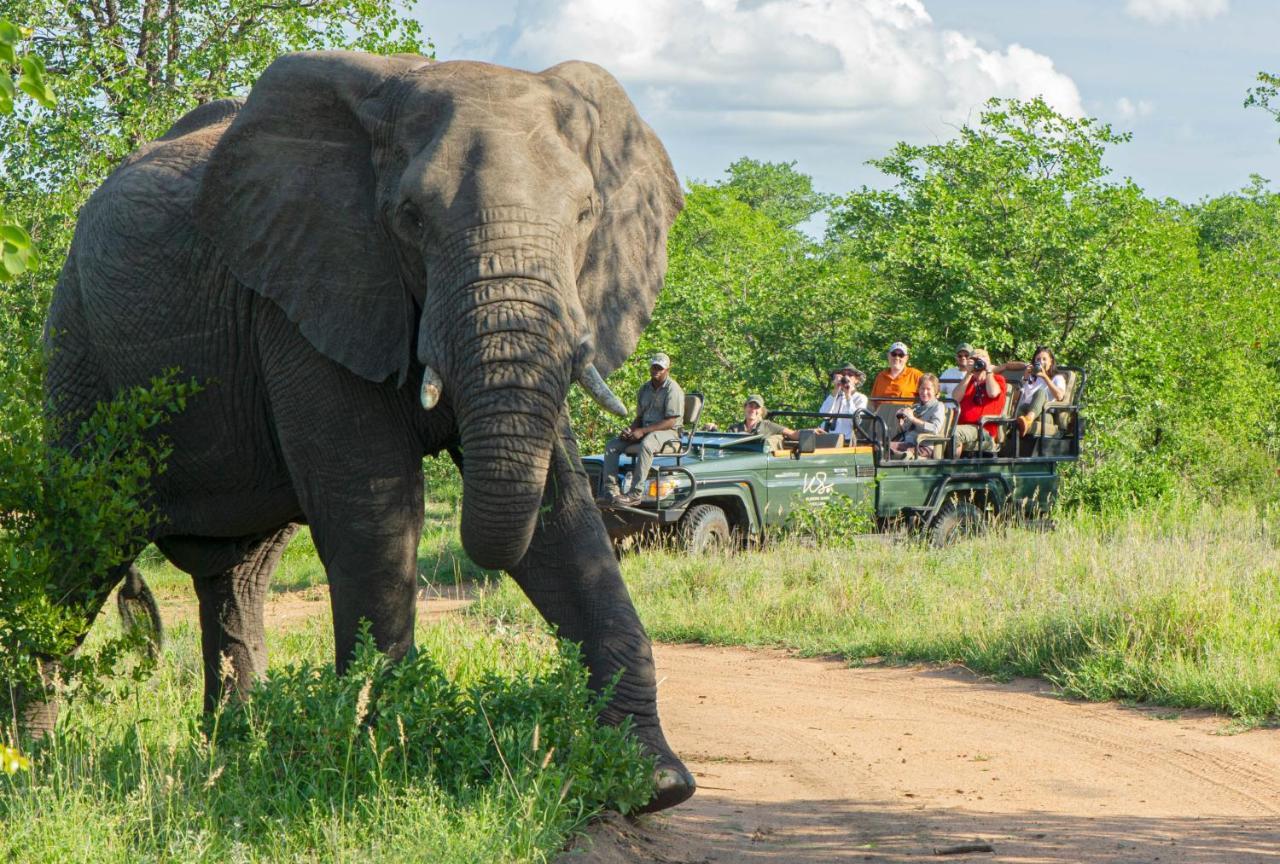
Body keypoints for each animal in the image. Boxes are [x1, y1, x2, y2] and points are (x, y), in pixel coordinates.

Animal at [37, 50, 701, 814]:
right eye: (410, 218)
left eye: (587, 213)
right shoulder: (309, 294)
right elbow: (375, 515)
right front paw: (388, 767)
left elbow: (565, 521)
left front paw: (653, 782)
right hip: (78, 347)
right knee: (82, 543)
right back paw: (34, 762)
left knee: (235, 579)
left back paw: (233, 755)